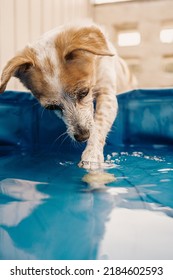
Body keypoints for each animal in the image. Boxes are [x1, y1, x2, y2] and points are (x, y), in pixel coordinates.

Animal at [0, 23, 136, 167]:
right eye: (51, 107)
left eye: (84, 92)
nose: (82, 136)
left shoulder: (107, 93)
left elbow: (99, 124)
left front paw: (92, 155)